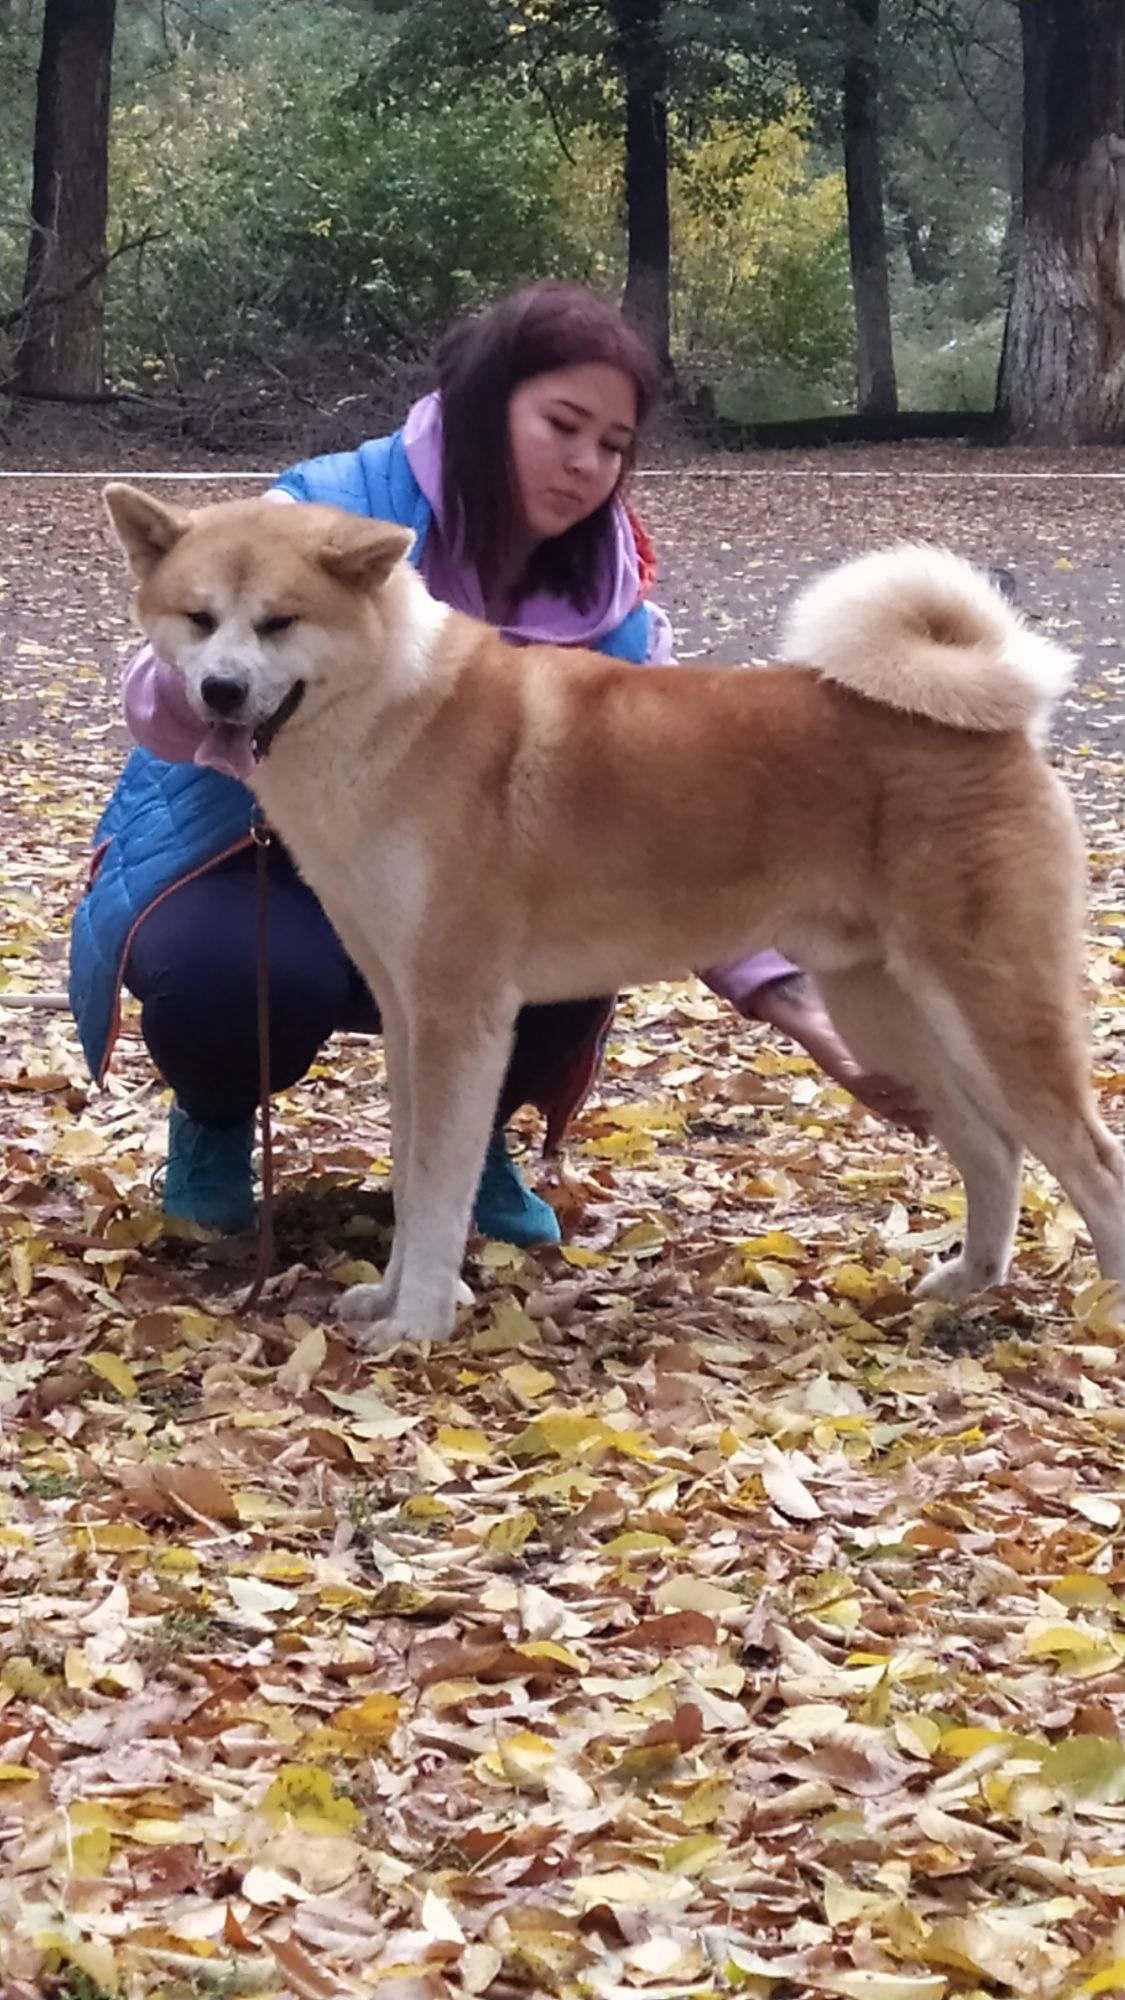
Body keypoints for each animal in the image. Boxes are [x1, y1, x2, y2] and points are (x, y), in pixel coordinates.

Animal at [100, 484, 1112, 1352]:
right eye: (198, 620)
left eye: (280, 622)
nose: (221, 692)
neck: (395, 713)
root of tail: (995, 726)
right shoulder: (406, 1014)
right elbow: (410, 1175)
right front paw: (394, 1298)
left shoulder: (458, 1015)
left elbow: (434, 1190)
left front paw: (418, 1321)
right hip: (889, 1017)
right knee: (995, 1153)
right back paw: (966, 1283)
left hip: (993, 1010)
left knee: (1091, 1162)